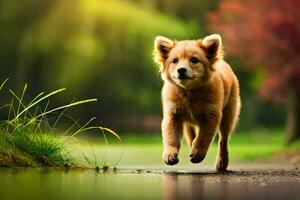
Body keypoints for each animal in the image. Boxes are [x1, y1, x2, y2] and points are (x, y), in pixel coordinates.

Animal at [154, 34, 240, 170]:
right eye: (175, 60)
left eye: (194, 60)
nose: (181, 70)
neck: (189, 92)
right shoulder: (172, 114)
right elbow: (171, 135)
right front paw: (170, 153)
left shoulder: (211, 114)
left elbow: (204, 136)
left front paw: (198, 152)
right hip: (189, 124)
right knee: (192, 136)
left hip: (228, 115)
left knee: (223, 139)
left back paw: (222, 161)